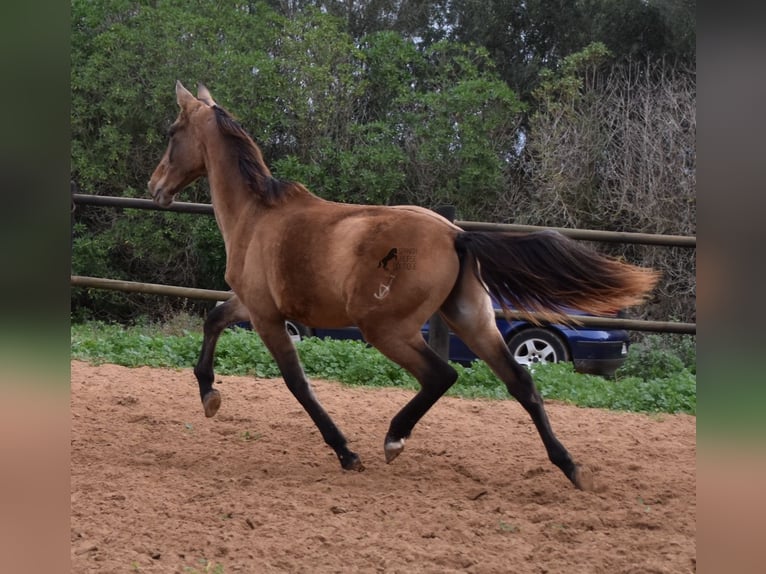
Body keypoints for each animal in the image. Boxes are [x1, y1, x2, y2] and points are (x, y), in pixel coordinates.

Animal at [148, 81, 660, 492]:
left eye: (172, 132)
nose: (154, 186)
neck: (256, 216)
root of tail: (456, 234)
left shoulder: (267, 315)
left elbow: (296, 382)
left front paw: (346, 453)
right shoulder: (251, 304)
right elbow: (214, 317)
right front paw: (209, 396)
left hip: (387, 329)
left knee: (442, 375)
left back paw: (394, 439)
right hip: (472, 319)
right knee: (521, 382)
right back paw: (572, 468)